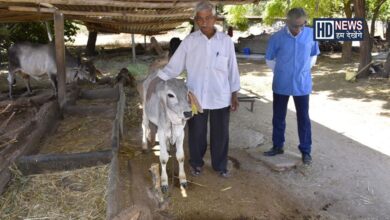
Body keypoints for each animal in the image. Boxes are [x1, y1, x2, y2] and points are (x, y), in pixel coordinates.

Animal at [139, 60, 201, 192]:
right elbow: (163, 158)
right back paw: (144, 145)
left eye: (187, 93)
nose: (188, 113)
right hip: (145, 110)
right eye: (171, 95)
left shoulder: (180, 133)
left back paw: (167, 147)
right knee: (144, 125)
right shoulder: (162, 133)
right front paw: (164, 182)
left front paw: (183, 180)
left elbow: (180, 156)